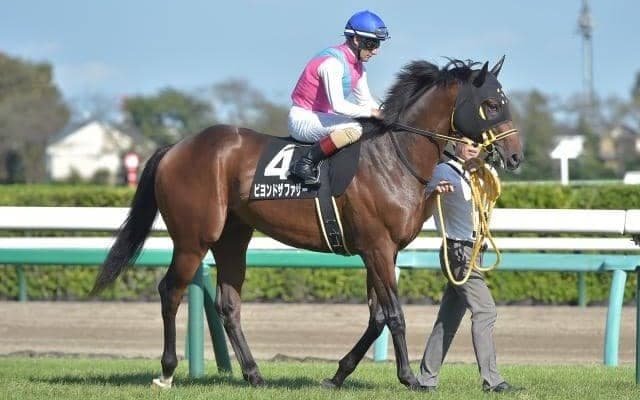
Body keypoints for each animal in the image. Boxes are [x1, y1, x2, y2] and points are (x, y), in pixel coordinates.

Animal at [91, 58, 523, 389]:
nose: (516, 155)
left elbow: (377, 317)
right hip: (194, 237)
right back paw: (166, 372)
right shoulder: (377, 247)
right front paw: (409, 378)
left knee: (228, 304)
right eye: (491, 104)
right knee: (171, 291)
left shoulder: (381, 251)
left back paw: (254, 374)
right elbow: (395, 315)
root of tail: (175, 147)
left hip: (233, 237)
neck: (395, 157)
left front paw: (337, 375)